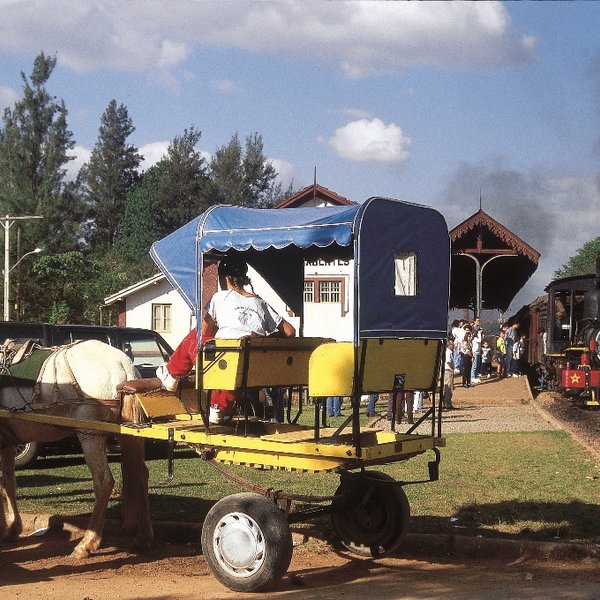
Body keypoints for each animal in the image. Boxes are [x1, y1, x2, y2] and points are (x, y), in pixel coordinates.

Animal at [0, 340, 154, 560]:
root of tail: (123, 363)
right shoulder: (7, 443)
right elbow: (8, 484)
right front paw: (12, 529)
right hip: (127, 431)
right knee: (140, 475)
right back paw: (143, 538)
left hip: (90, 436)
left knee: (104, 482)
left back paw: (86, 543)